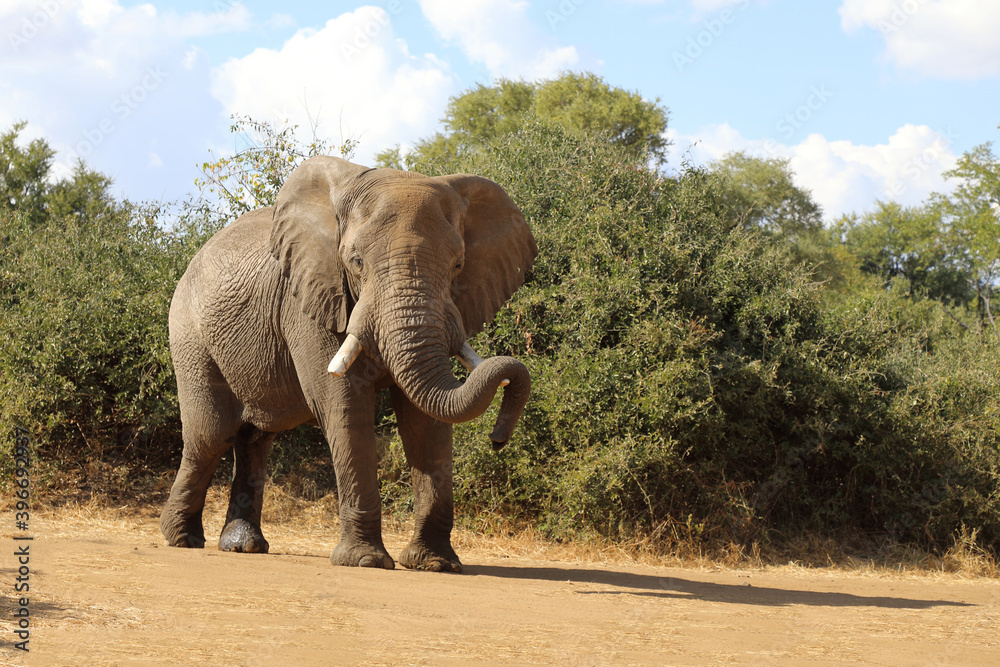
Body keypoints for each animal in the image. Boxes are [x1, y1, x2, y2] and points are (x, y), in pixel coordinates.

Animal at [159, 156, 536, 572]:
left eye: (458, 265)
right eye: (355, 262)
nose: (498, 439)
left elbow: (425, 422)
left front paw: (435, 564)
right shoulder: (310, 299)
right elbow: (344, 405)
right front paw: (364, 562)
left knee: (254, 436)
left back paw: (243, 547)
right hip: (190, 336)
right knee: (211, 435)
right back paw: (182, 539)